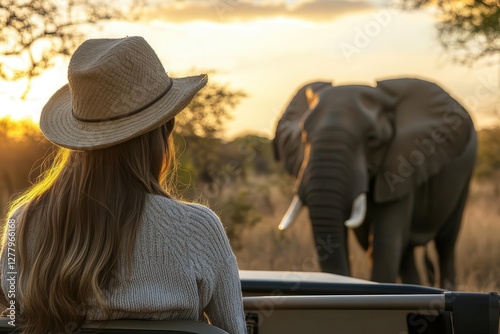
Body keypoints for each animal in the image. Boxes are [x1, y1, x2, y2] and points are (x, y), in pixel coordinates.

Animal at [274, 77, 476, 288]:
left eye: (373, 138)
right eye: (304, 135)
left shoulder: (403, 165)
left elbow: (384, 244)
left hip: (465, 174)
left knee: (446, 243)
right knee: (407, 253)